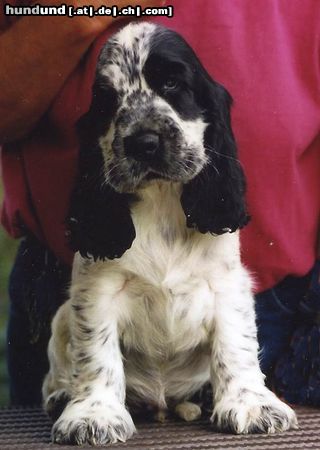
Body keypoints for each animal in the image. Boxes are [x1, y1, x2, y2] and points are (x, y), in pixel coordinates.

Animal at [42, 22, 298, 446]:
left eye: (173, 84)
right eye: (109, 101)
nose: (143, 142)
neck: (162, 199)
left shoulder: (227, 283)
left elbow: (236, 343)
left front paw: (252, 405)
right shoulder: (97, 289)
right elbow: (96, 353)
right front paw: (94, 415)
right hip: (61, 317)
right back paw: (62, 395)